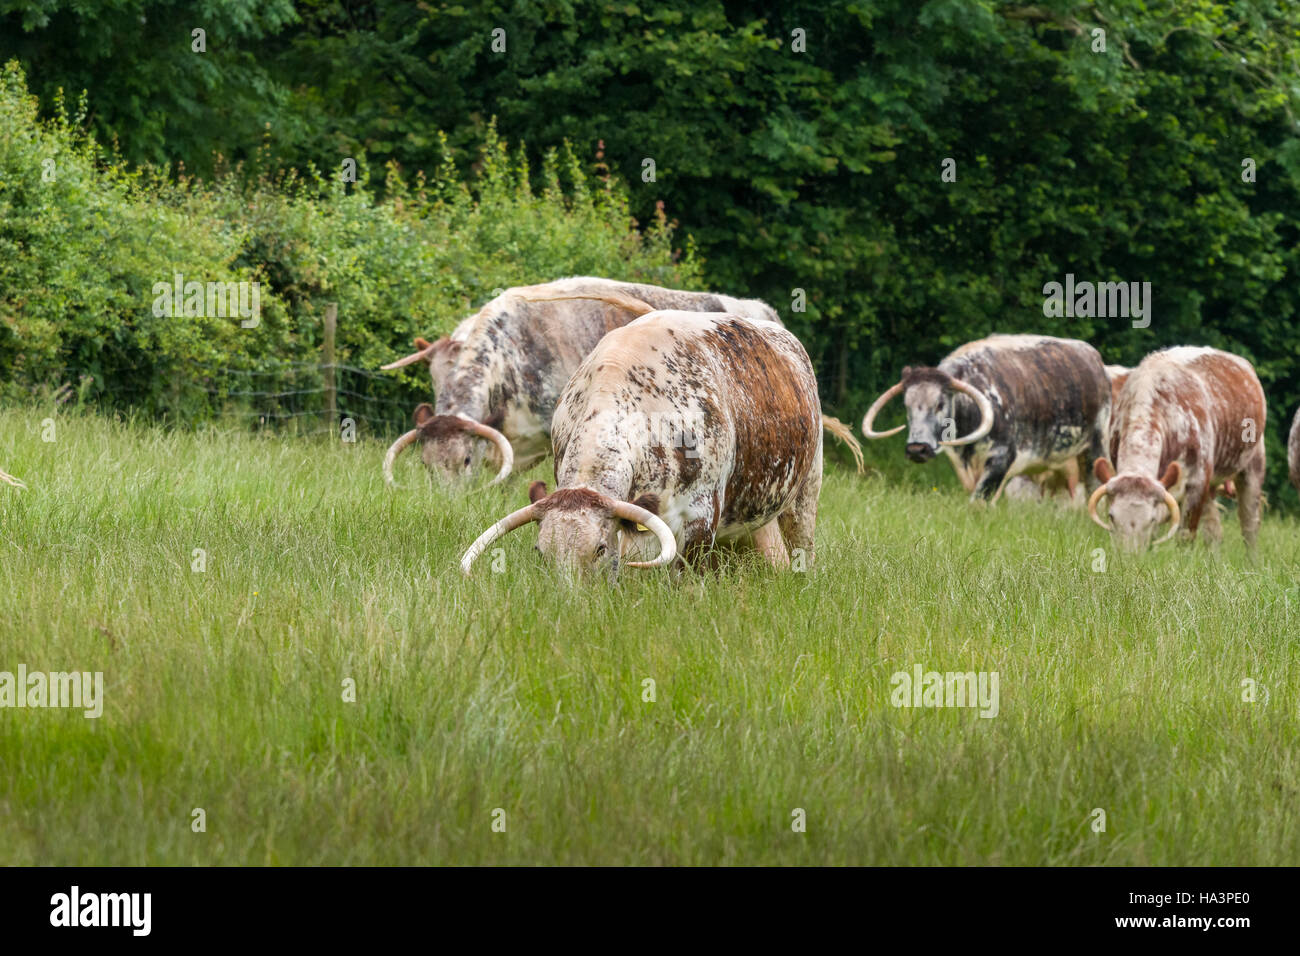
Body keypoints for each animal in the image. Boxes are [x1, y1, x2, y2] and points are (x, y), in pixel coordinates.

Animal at [861, 334, 1111, 503]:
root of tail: (1094, 357)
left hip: (1095, 448)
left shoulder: (1001, 459)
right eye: (907, 405)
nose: (917, 449)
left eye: (940, 403)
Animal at [1088, 346, 1265, 551]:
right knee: (1213, 531)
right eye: (1111, 516)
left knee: (1249, 527)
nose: (1129, 555)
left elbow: (1186, 535)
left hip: (1252, 467)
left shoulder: (1198, 482)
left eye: (1151, 519)